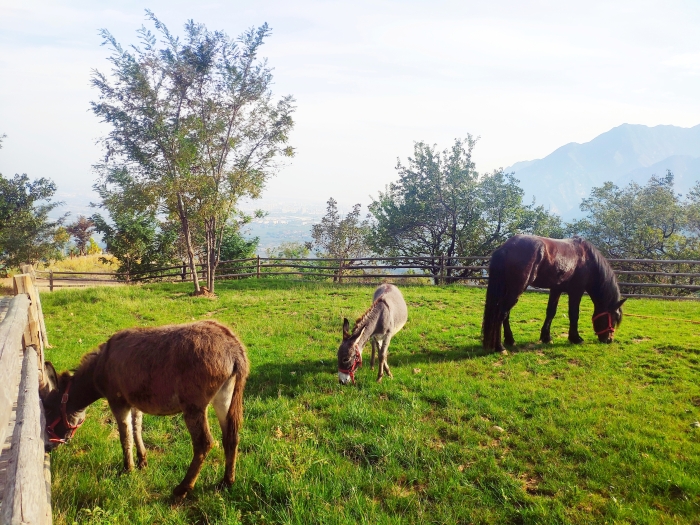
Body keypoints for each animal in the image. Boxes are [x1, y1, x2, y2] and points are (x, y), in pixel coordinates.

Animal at [39, 320, 249, 499]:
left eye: (48, 410)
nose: (47, 447)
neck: (101, 366)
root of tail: (233, 348)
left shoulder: (117, 401)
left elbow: (125, 436)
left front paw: (128, 469)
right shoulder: (134, 402)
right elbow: (136, 429)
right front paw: (142, 462)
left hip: (193, 406)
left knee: (204, 444)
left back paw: (182, 489)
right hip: (224, 397)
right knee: (231, 437)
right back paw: (227, 482)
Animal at [482, 235, 626, 351]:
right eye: (614, 318)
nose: (609, 340)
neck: (587, 258)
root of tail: (505, 248)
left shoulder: (556, 289)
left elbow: (551, 312)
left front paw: (546, 337)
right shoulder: (576, 291)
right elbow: (574, 314)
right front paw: (575, 338)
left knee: (505, 314)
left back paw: (510, 340)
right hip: (516, 289)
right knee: (501, 313)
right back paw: (500, 347)